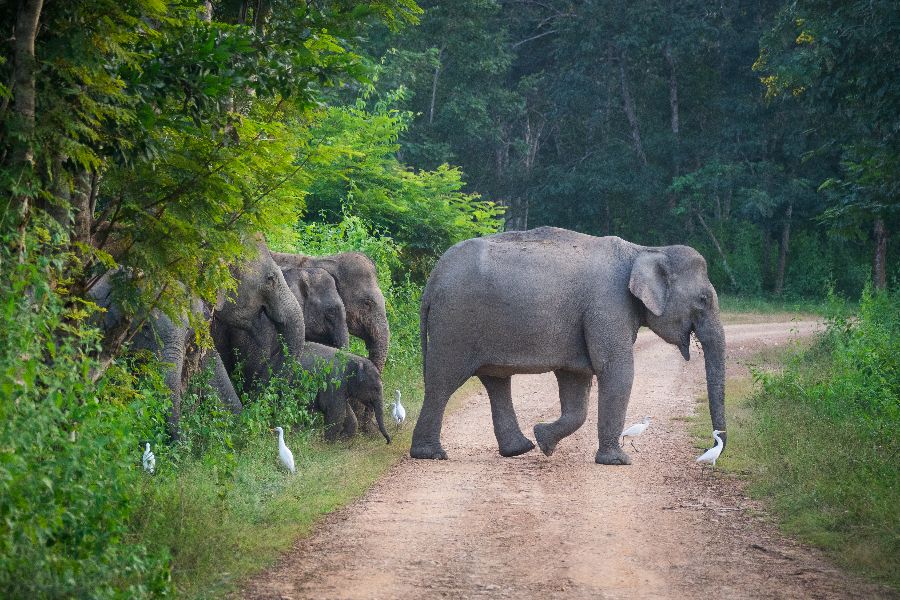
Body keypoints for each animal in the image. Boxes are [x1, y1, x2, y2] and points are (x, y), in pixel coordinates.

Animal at [412, 225, 728, 464]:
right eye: (704, 300)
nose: (714, 445)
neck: (643, 250)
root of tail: (432, 282)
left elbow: (577, 380)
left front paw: (544, 441)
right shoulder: (607, 306)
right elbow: (616, 370)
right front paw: (618, 462)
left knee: (495, 382)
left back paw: (520, 449)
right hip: (455, 322)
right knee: (443, 381)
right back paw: (431, 455)